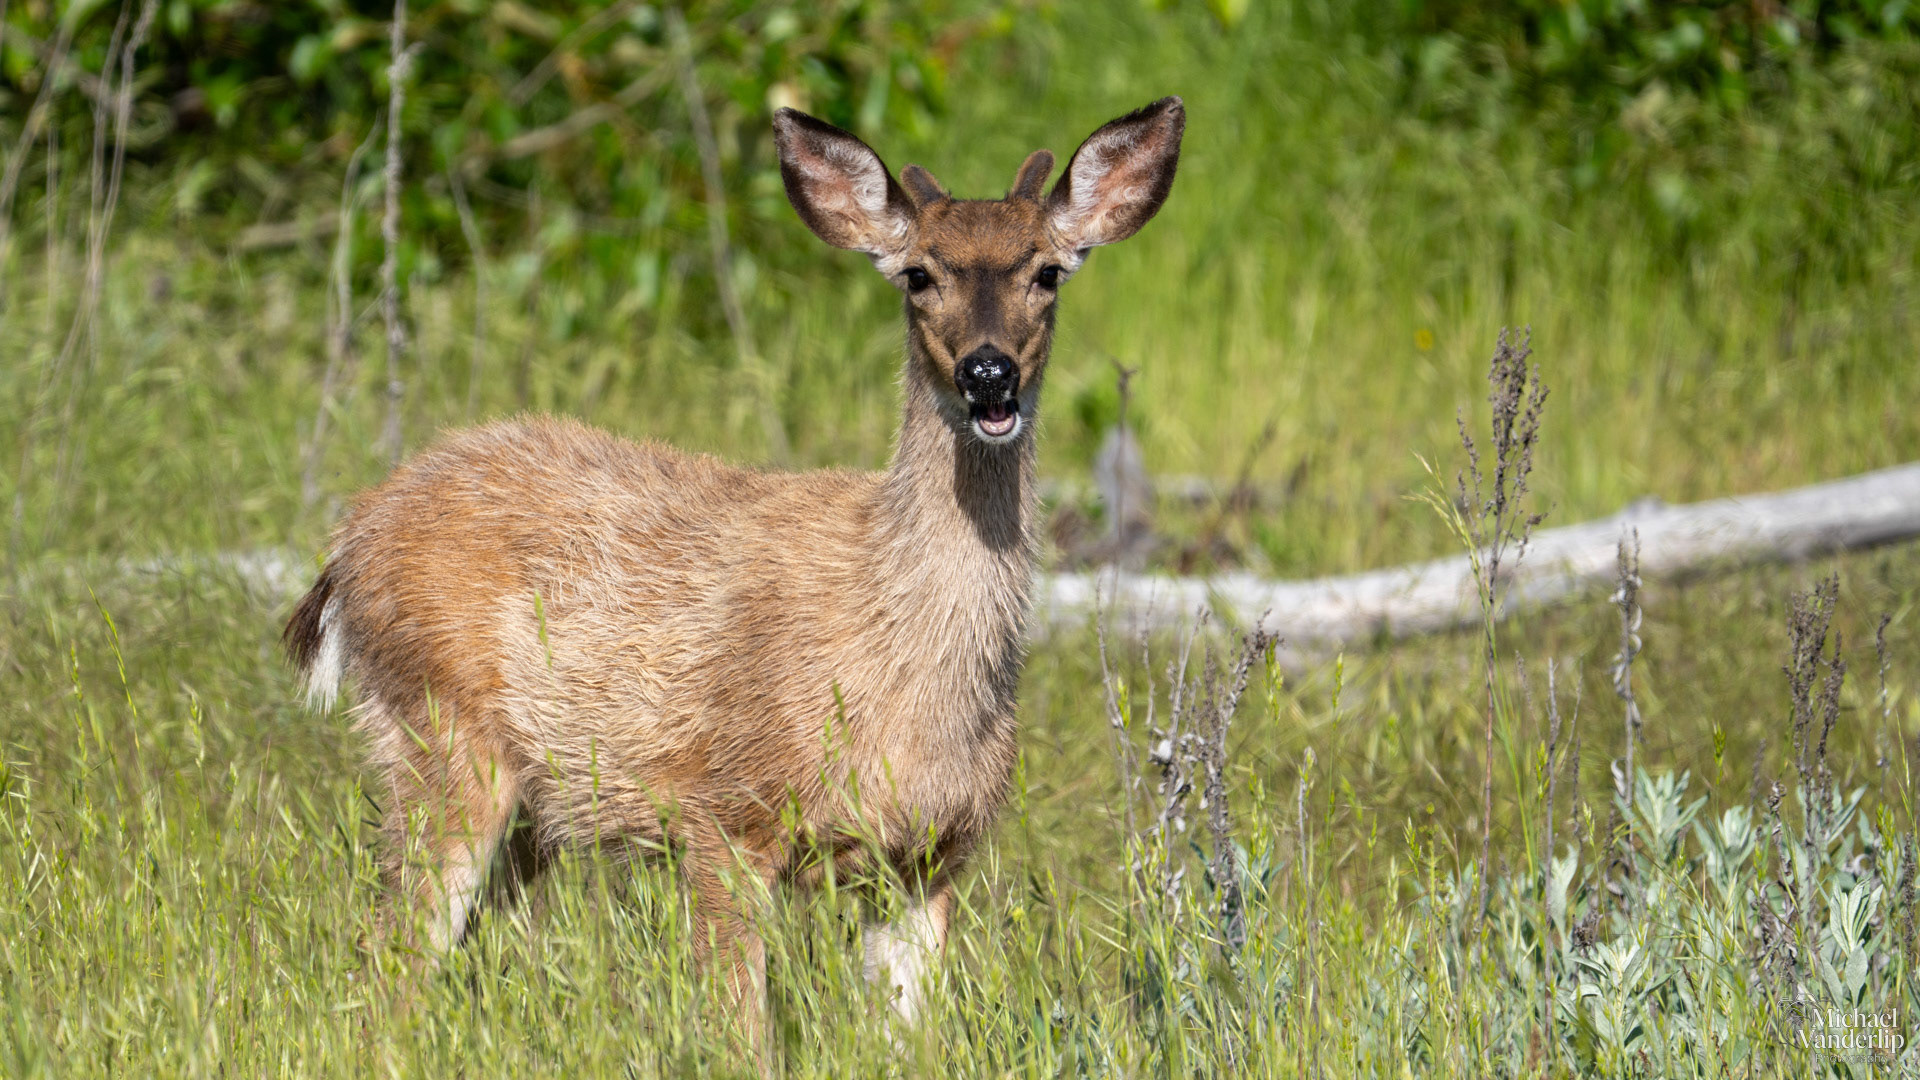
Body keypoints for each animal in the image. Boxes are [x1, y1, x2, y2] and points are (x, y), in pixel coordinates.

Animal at [283, 97, 1184, 1049]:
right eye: (918, 275)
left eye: (1048, 272)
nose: (988, 372)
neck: (905, 678)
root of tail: (350, 540)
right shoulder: (723, 814)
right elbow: (740, 1032)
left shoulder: (931, 854)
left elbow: (908, 1036)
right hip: (439, 732)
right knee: (389, 964)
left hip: (531, 810)